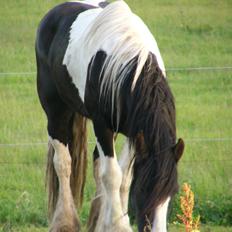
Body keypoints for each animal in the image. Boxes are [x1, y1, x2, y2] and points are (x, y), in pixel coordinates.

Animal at [35, 0, 185, 232]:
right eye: (143, 190)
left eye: (172, 192)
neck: (133, 67)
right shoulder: (102, 125)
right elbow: (113, 175)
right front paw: (119, 225)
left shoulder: (135, 132)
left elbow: (124, 177)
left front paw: (109, 222)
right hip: (56, 112)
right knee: (63, 163)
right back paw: (65, 222)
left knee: (97, 166)